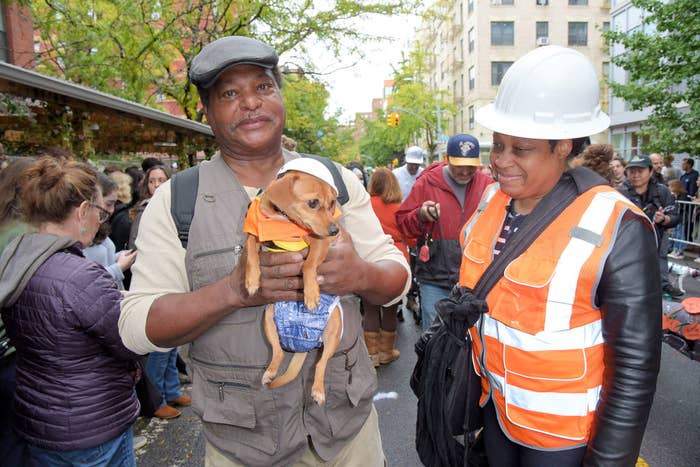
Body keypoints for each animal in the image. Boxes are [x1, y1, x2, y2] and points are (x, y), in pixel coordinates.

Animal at [245, 158, 344, 406]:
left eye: (332, 204)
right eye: (313, 203)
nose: (334, 230)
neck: (284, 221)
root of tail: (305, 344)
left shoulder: (320, 243)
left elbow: (308, 265)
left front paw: (311, 294)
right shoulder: (255, 234)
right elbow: (250, 251)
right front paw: (251, 280)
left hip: (334, 330)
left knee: (321, 364)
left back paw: (318, 390)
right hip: (268, 317)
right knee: (278, 353)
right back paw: (270, 372)